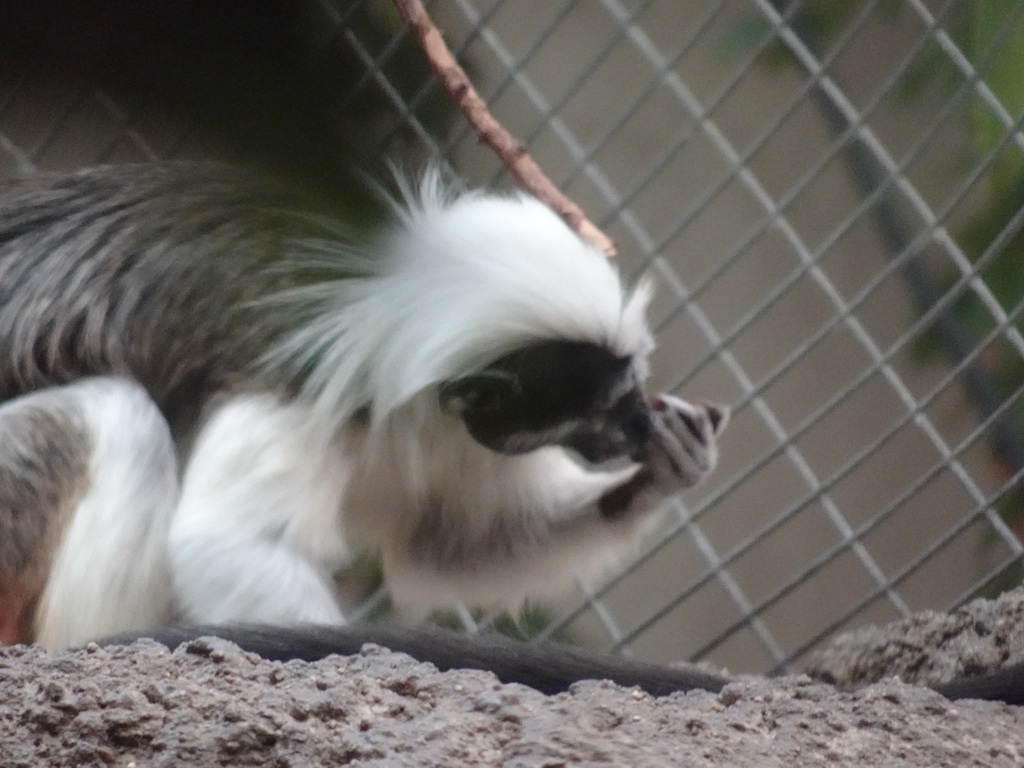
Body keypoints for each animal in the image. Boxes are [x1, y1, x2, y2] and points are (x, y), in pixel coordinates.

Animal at [0, 162, 729, 655]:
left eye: (635, 387)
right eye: (603, 407)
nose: (637, 425)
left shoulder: (445, 418)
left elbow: (460, 543)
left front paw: (665, 470)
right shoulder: (303, 378)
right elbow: (229, 543)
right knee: (114, 412)